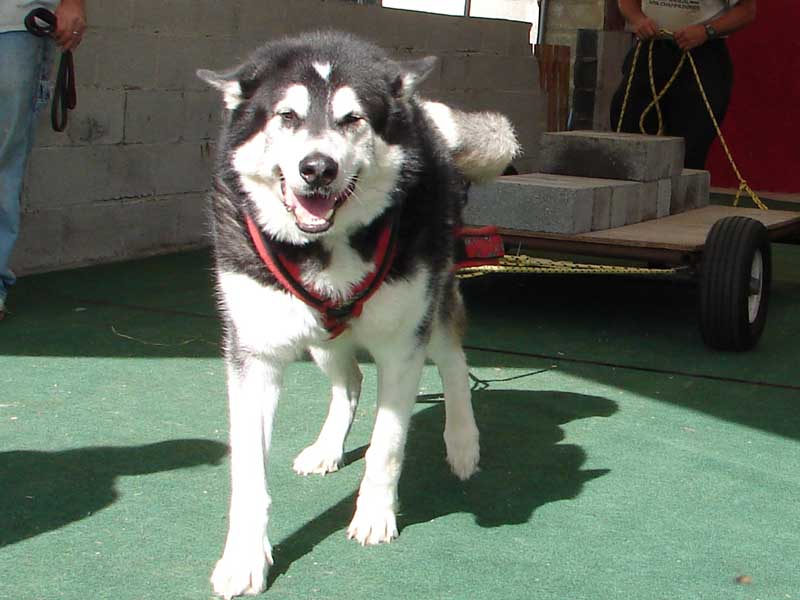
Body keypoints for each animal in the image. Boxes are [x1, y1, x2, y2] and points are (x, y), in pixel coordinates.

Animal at [200, 30, 520, 596]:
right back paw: (327, 448)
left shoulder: (402, 346)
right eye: (286, 116)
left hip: (432, 307)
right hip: (318, 337)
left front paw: (374, 515)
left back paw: (462, 442)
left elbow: (388, 446)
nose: (317, 168)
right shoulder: (254, 354)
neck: (324, 247)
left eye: (353, 119)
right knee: (348, 379)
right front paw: (244, 558)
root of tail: (424, 113)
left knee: (455, 363)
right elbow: (249, 473)